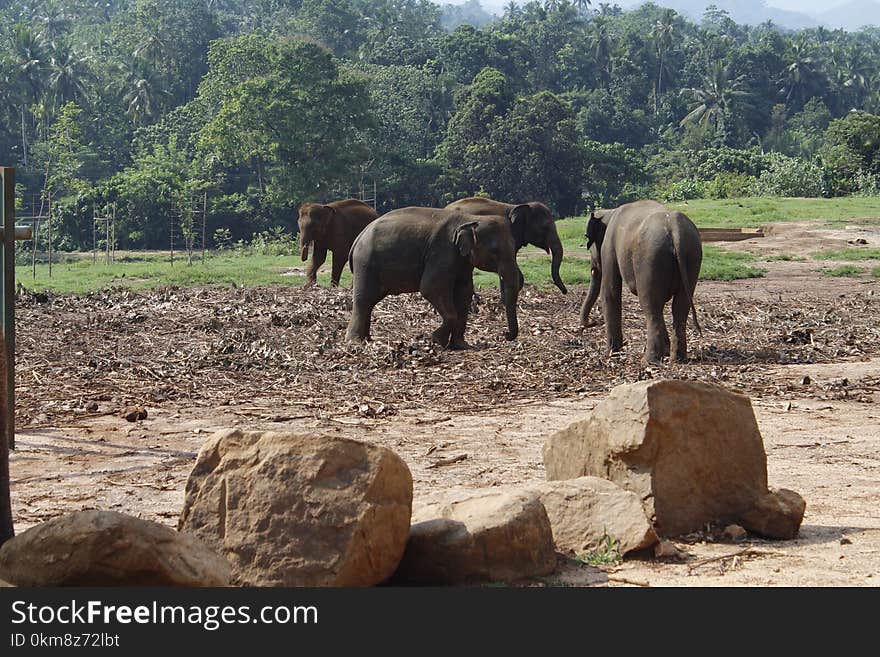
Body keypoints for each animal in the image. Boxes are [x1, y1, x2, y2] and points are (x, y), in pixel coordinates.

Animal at [346, 206, 524, 348]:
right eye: (494, 251)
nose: (504, 335)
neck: (470, 219)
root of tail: (358, 238)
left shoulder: (462, 260)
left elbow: (464, 291)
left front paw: (461, 345)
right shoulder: (442, 252)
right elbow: (431, 288)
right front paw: (437, 340)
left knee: (369, 302)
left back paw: (367, 339)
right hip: (365, 264)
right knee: (364, 299)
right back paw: (356, 341)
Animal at [580, 200, 704, 364]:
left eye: (588, 239)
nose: (593, 322)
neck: (609, 212)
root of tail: (675, 228)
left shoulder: (609, 247)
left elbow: (610, 291)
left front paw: (611, 352)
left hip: (650, 259)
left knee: (651, 306)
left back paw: (648, 360)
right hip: (692, 256)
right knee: (679, 307)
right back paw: (677, 359)